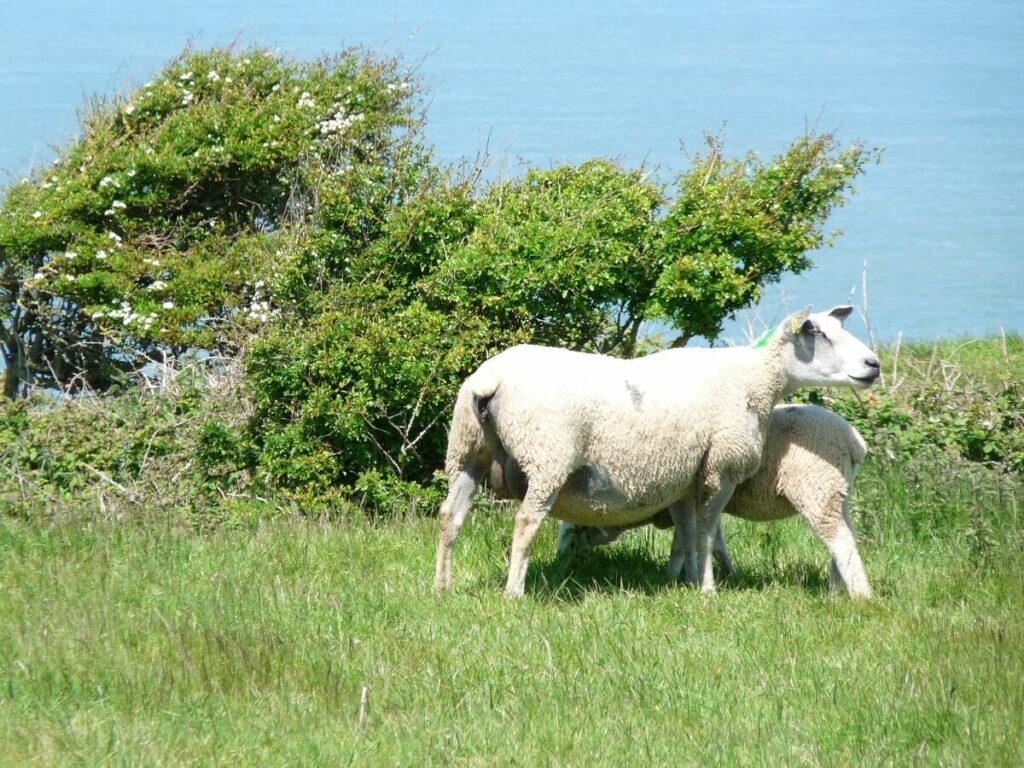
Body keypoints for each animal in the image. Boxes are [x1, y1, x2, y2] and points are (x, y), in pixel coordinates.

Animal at [552, 403, 872, 602]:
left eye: (573, 532)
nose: (563, 564)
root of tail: (854, 440)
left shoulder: (683, 500)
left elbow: (686, 541)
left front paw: (675, 577)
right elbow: (710, 540)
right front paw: (724, 574)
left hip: (816, 485)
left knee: (839, 539)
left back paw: (859, 595)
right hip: (837, 490)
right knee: (846, 537)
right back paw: (835, 589)